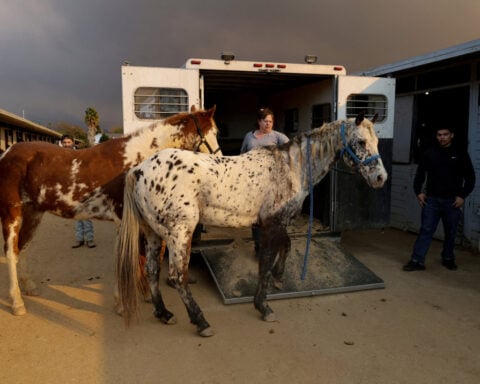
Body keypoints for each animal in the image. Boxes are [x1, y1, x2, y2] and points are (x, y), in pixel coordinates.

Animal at [0, 106, 221, 316]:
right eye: (214, 132)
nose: (219, 160)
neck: (134, 162)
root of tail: (6, 154)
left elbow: (140, 258)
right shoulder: (123, 221)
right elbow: (124, 259)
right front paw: (122, 305)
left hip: (33, 213)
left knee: (23, 248)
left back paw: (29, 287)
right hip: (11, 213)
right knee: (11, 252)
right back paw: (17, 303)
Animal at [117, 113, 390, 336]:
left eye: (377, 141)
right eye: (361, 142)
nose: (380, 178)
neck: (290, 168)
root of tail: (139, 170)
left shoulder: (276, 222)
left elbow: (285, 247)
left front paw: (278, 277)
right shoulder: (272, 223)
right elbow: (265, 262)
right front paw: (263, 306)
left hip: (153, 233)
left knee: (153, 270)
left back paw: (164, 313)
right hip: (179, 233)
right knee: (177, 276)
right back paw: (201, 322)